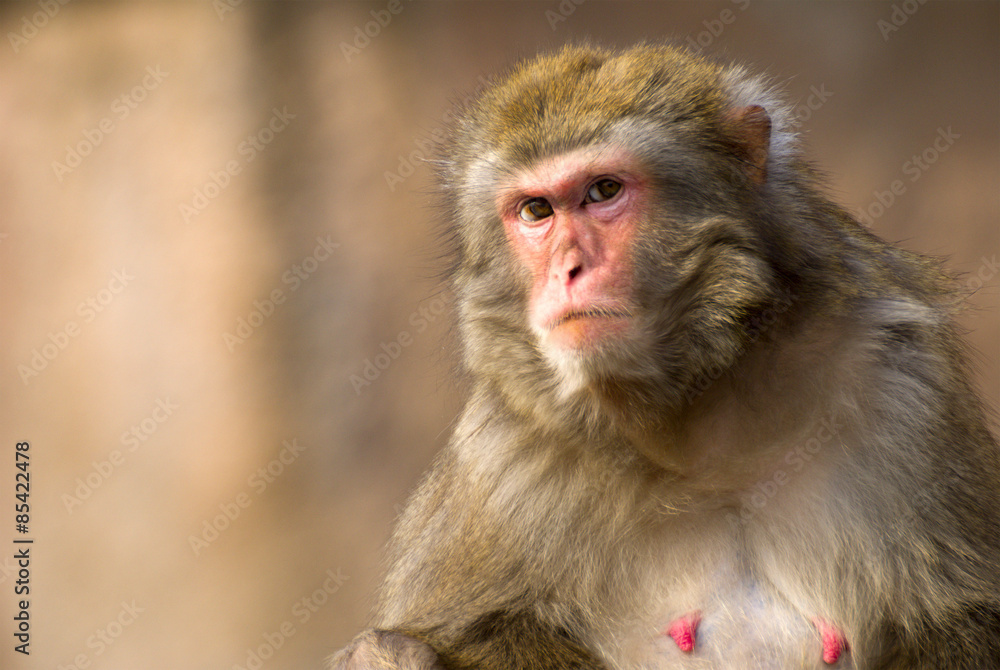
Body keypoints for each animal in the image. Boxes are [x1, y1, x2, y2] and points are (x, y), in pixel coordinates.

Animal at [330, 44, 1000, 668]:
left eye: (603, 191)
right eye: (536, 211)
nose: (568, 270)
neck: (696, 412)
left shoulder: (901, 381)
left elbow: (963, 619)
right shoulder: (503, 458)